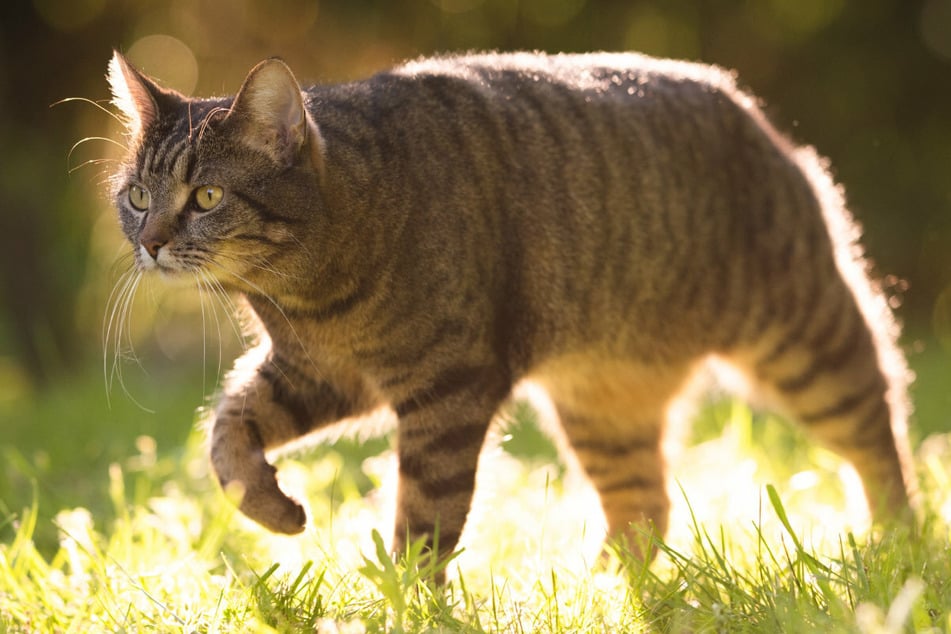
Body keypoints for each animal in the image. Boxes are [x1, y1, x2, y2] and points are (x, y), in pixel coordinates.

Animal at [108, 48, 920, 564]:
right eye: (138, 195)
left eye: (206, 196)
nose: (150, 242)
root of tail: (752, 109)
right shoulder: (319, 373)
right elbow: (226, 434)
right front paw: (273, 508)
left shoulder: (448, 387)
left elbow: (424, 518)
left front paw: (406, 601)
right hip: (602, 411)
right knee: (645, 509)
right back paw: (603, 593)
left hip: (808, 342)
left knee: (882, 432)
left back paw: (899, 539)